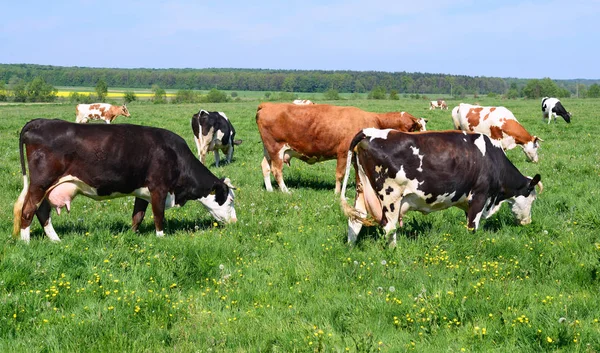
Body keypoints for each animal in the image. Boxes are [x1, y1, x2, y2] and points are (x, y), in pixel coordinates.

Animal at [11, 118, 237, 242]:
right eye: (230, 200)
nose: (235, 222)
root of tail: (40, 121)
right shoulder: (159, 188)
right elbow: (159, 216)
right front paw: (161, 237)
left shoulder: (143, 192)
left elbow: (138, 216)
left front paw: (131, 235)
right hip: (40, 183)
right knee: (28, 210)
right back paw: (26, 243)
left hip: (48, 187)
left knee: (42, 211)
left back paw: (56, 240)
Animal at [254, 102, 426, 194]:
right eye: (410, 127)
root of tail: (267, 105)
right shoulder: (343, 152)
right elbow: (340, 174)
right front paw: (337, 193)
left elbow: (359, 175)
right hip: (276, 149)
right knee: (277, 170)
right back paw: (286, 191)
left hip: (268, 150)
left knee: (265, 167)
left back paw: (270, 190)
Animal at [340, 128, 540, 246]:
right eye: (532, 197)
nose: (527, 222)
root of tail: (368, 132)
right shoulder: (479, 196)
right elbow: (472, 227)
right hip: (390, 196)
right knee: (389, 227)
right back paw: (393, 252)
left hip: (362, 189)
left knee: (355, 221)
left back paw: (351, 248)